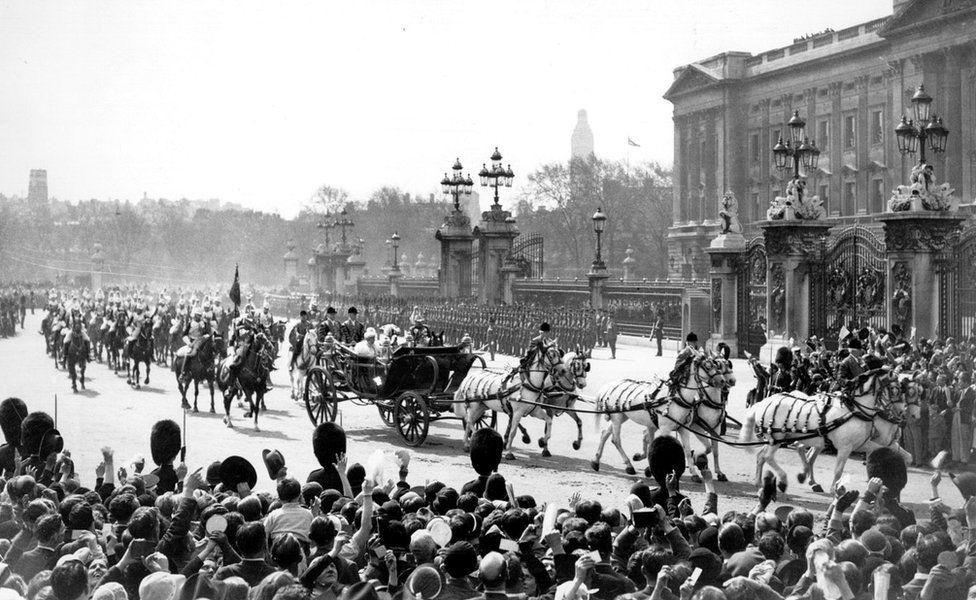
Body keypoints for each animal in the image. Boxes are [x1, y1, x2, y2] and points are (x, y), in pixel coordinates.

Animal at [588, 352, 732, 478]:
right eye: (708, 366)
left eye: (716, 365)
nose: (723, 381)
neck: (677, 397)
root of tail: (610, 385)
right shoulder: (668, 428)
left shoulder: (685, 429)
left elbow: (689, 450)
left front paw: (695, 473)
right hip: (617, 418)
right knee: (616, 439)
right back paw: (629, 465)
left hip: (621, 416)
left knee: (605, 434)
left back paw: (596, 461)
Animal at [744, 368, 904, 494]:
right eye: (894, 389)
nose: (901, 413)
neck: (854, 409)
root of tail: (762, 403)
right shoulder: (845, 447)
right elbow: (838, 470)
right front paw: (834, 489)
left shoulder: (861, 444)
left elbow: (886, 450)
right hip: (778, 437)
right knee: (768, 457)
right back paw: (784, 480)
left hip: (776, 439)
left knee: (761, 456)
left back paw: (759, 482)